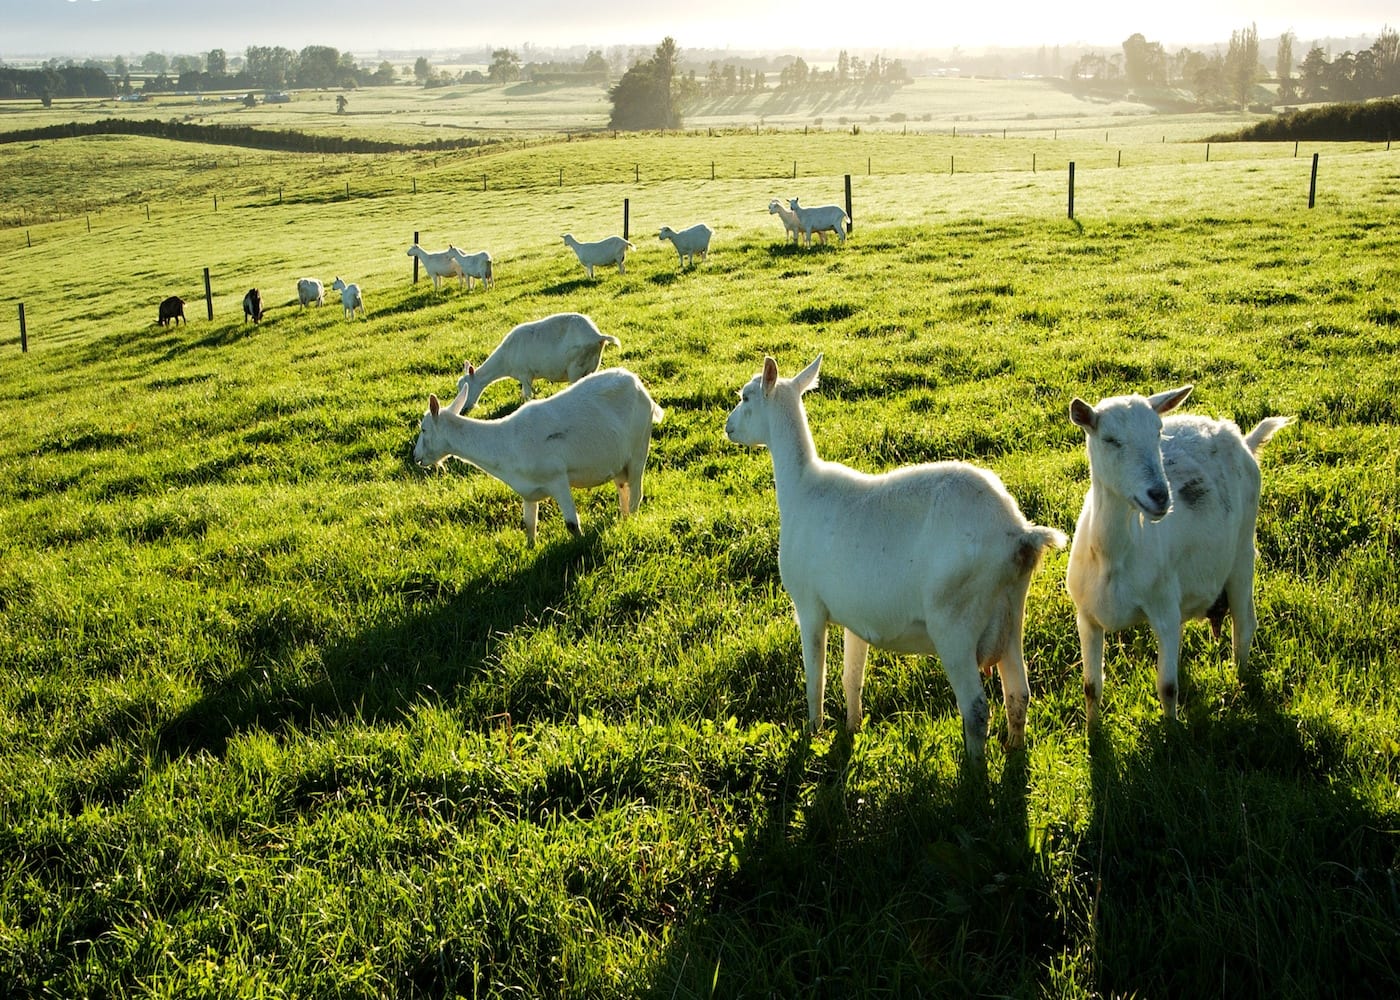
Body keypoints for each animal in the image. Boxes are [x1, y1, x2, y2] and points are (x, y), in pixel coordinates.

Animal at [414, 368, 664, 546]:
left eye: (424, 429)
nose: (416, 457)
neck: (506, 442)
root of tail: (641, 388)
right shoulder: (528, 491)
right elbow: (529, 525)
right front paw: (530, 549)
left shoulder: (558, 478)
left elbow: (571, 524)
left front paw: (580, 547)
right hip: (619, 459)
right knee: (623, 489)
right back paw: (624, 518)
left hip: (640, 446)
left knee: (636, 493)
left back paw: (631, 521)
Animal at [454, 312, 620, 413]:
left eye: (467, 387)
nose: (463, 409)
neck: (505, 359)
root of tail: (597, 336)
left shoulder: (525, 374)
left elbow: (527, 396)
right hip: (593, 364)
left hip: (576, 367)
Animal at [725, 355, 1066, 755]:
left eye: (746, 397)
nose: (728, 427)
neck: (802, 487)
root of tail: (1019, 535)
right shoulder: (854, 615)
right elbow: (851, 679)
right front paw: (852, 728)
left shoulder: (809, 606)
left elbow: (815, 681)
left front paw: (815, 733)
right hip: (1011, 617)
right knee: (1019, 694)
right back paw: (1014, 750)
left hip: (955, 624)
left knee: (977, 708)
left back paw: (975, 770)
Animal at [1065, 385, 1292, 725]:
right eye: (1110, 440)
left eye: (1158, 433)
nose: (1160, 496)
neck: (1113, 557)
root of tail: (1241, 439)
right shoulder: (1087, 617)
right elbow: (1091, 688)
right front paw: (1093, 733)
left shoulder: (1163, 611)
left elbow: (1167, 687)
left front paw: (1172, 732)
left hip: (1242, 553)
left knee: (1244, 625)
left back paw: (1240, 683)